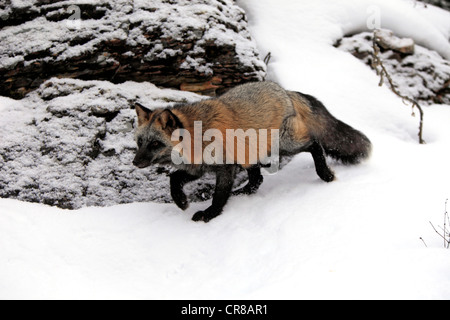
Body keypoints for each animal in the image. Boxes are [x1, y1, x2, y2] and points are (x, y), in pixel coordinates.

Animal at [132, 82, 370, 222]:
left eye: (155, 144)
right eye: (140, 142)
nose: (135, 162)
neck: (197, 136)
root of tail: (285, 90)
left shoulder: (225, 167)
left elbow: (219, 195)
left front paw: (211, 214)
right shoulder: (197, 168)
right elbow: (174, 179)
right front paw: (181, 201)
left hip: (283, 144)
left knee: (315, 145)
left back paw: (325, 174)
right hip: (252, 154)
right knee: (257, 179)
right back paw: (242, 193)